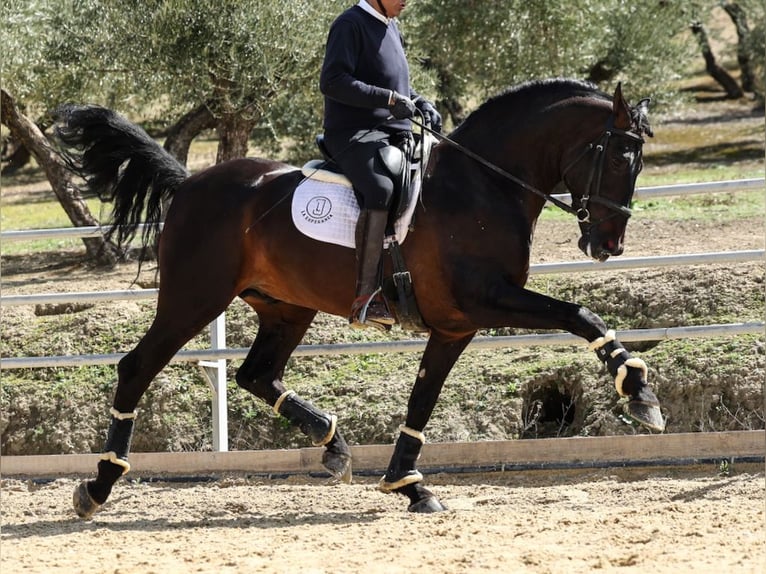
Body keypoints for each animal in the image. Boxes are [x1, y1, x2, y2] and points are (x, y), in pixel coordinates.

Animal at [54, 77, 664, 516]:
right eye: (618, 158)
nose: (608, 244)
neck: (481, 186)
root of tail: (189, 184)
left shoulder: (454, 326)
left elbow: (422, 401)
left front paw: (409, 484)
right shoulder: (486, 298)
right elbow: (579, 313)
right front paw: (638, 391)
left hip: (286, 308)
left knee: (257, 374)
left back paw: (332, 445)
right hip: (194, 299)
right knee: (137, 368)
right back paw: (99, 486)